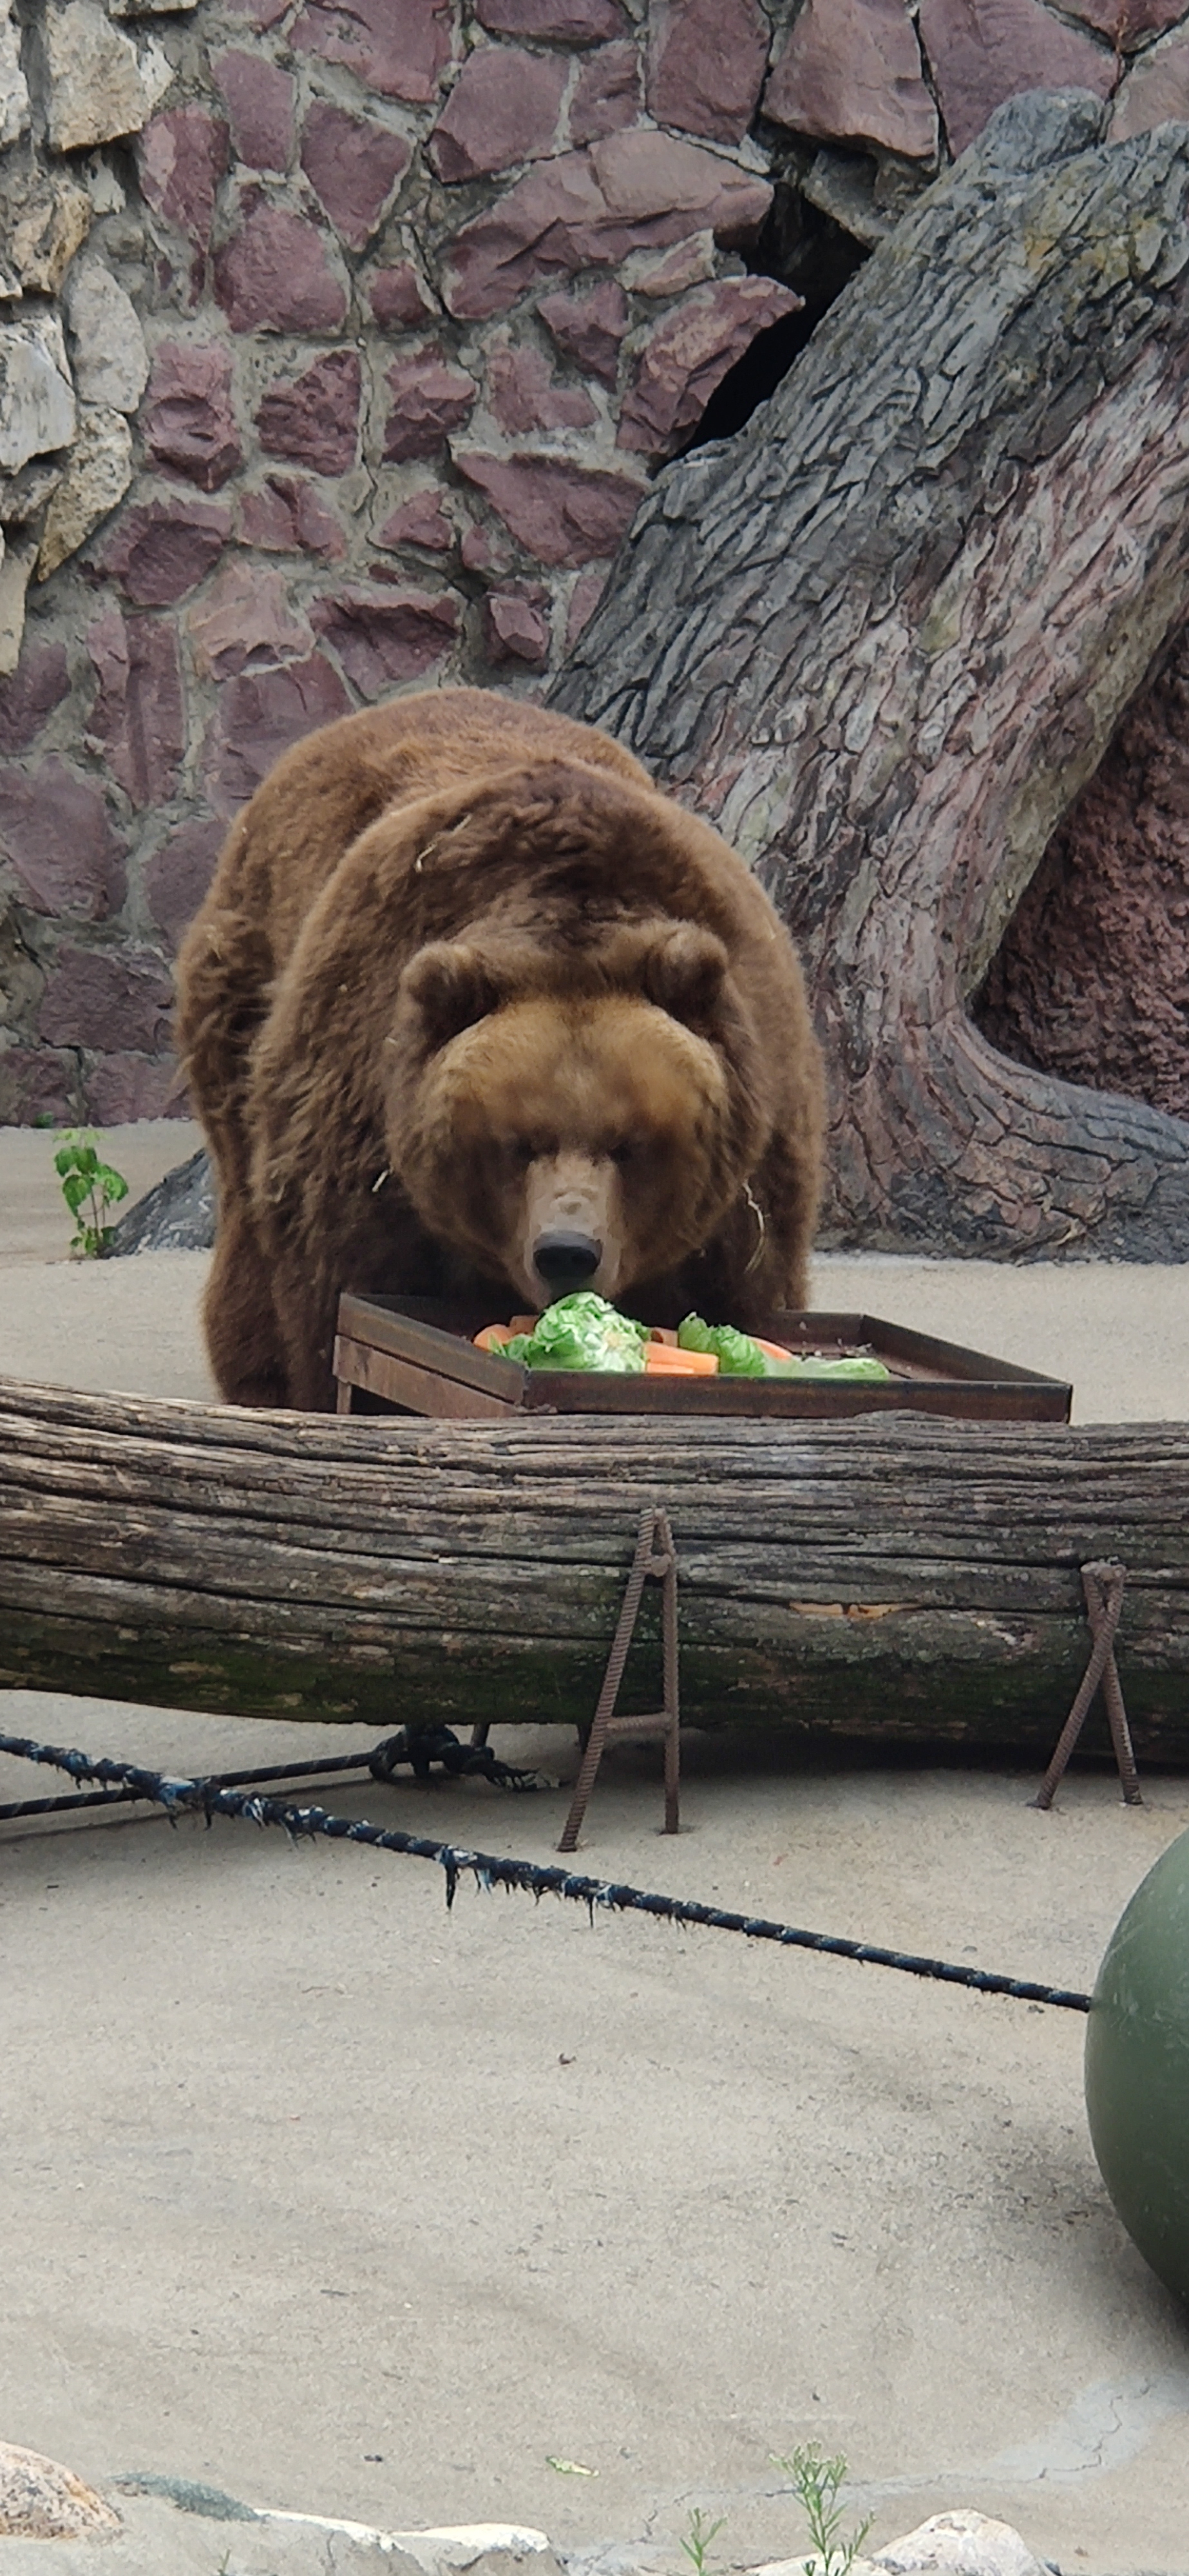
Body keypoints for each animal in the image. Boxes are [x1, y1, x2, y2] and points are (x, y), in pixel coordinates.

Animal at [176, 685, 823, 1412]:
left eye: (631, 1143)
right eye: (517, 1142)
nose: (567, 1252)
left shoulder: (752, 1152)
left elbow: (745, 1288)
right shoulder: (365, 1117)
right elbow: (340, 1305)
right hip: (246, 986)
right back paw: (257, 1374)